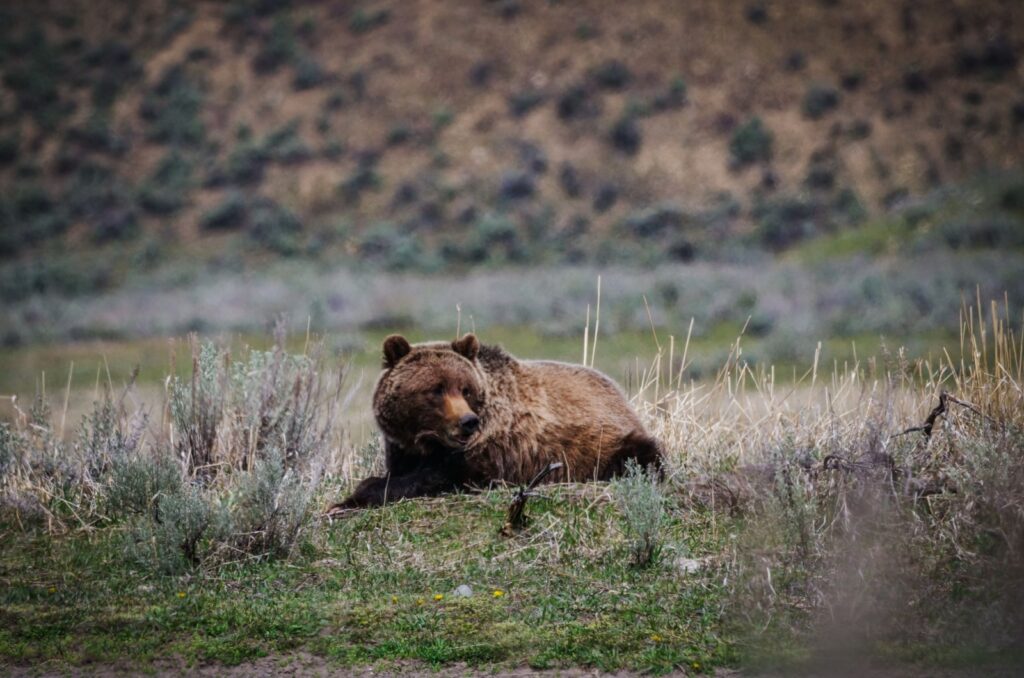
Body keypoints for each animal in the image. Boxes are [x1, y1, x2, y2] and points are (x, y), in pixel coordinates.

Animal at [331, 333, 663, 509]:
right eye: (436, 389)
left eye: (465, 388)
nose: (468, 421)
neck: (426, 442)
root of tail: (619, 394)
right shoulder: (401, 447)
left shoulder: (495, 450)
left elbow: (441, 476)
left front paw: (359, 492)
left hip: (611, 441)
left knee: (643, 455)